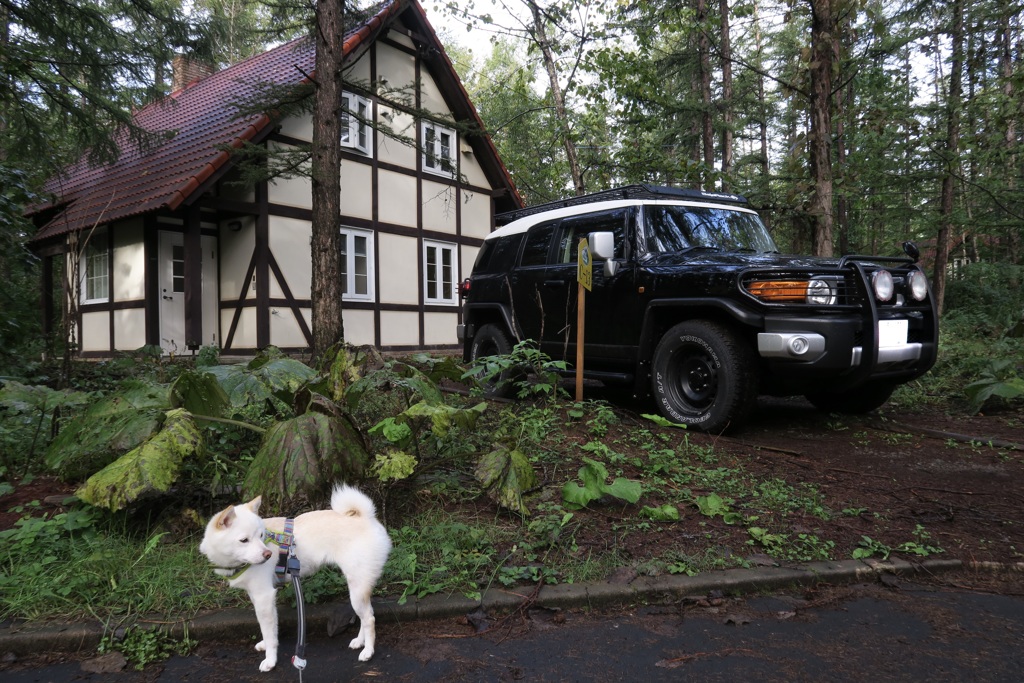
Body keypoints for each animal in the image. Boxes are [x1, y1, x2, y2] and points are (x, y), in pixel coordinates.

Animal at [199, 485, 391, 671]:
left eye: (261, 535)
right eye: (244, 540)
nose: (268, 554)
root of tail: (366, 517)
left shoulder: (264, 597)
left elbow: (268, 633)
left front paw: (270, 660)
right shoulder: (259, 597)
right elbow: (270, 629)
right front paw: (266, 645)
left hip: (357, 589)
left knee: (369, 619)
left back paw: (368, 651)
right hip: (358, 589)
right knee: (367, 614)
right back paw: (360, 641)